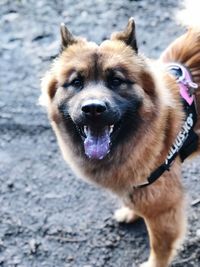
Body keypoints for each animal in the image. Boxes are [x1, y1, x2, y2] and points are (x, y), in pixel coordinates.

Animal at [39, 5, 200, 266]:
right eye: (76, 82)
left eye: (116, 81)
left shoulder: (164, 206)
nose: (93, 108)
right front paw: (130, 212)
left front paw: (153, 263)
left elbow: (160, 245)